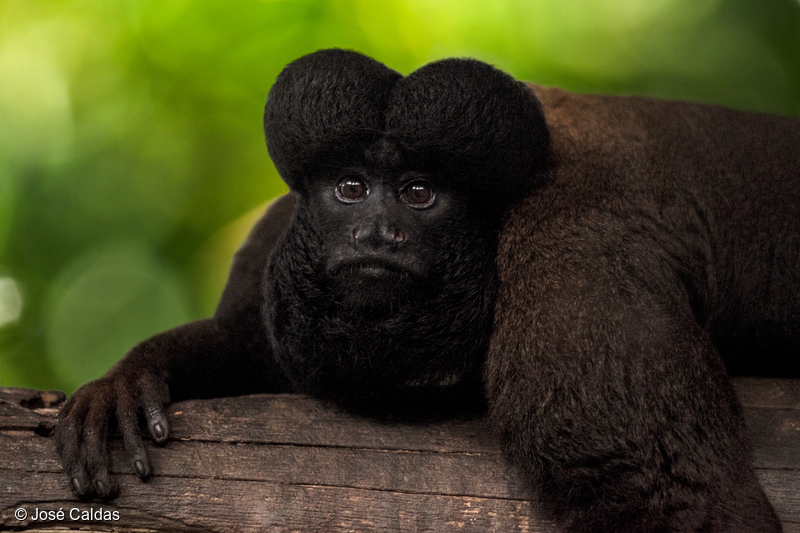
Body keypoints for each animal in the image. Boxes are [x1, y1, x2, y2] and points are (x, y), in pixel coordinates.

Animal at [53, 50, 796, 532]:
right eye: (351, 188)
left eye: (419, 194)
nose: (377, 234)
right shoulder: (273, 242)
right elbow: (240, 339)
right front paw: (129, 378)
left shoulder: (575, 247)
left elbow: (679, 496)